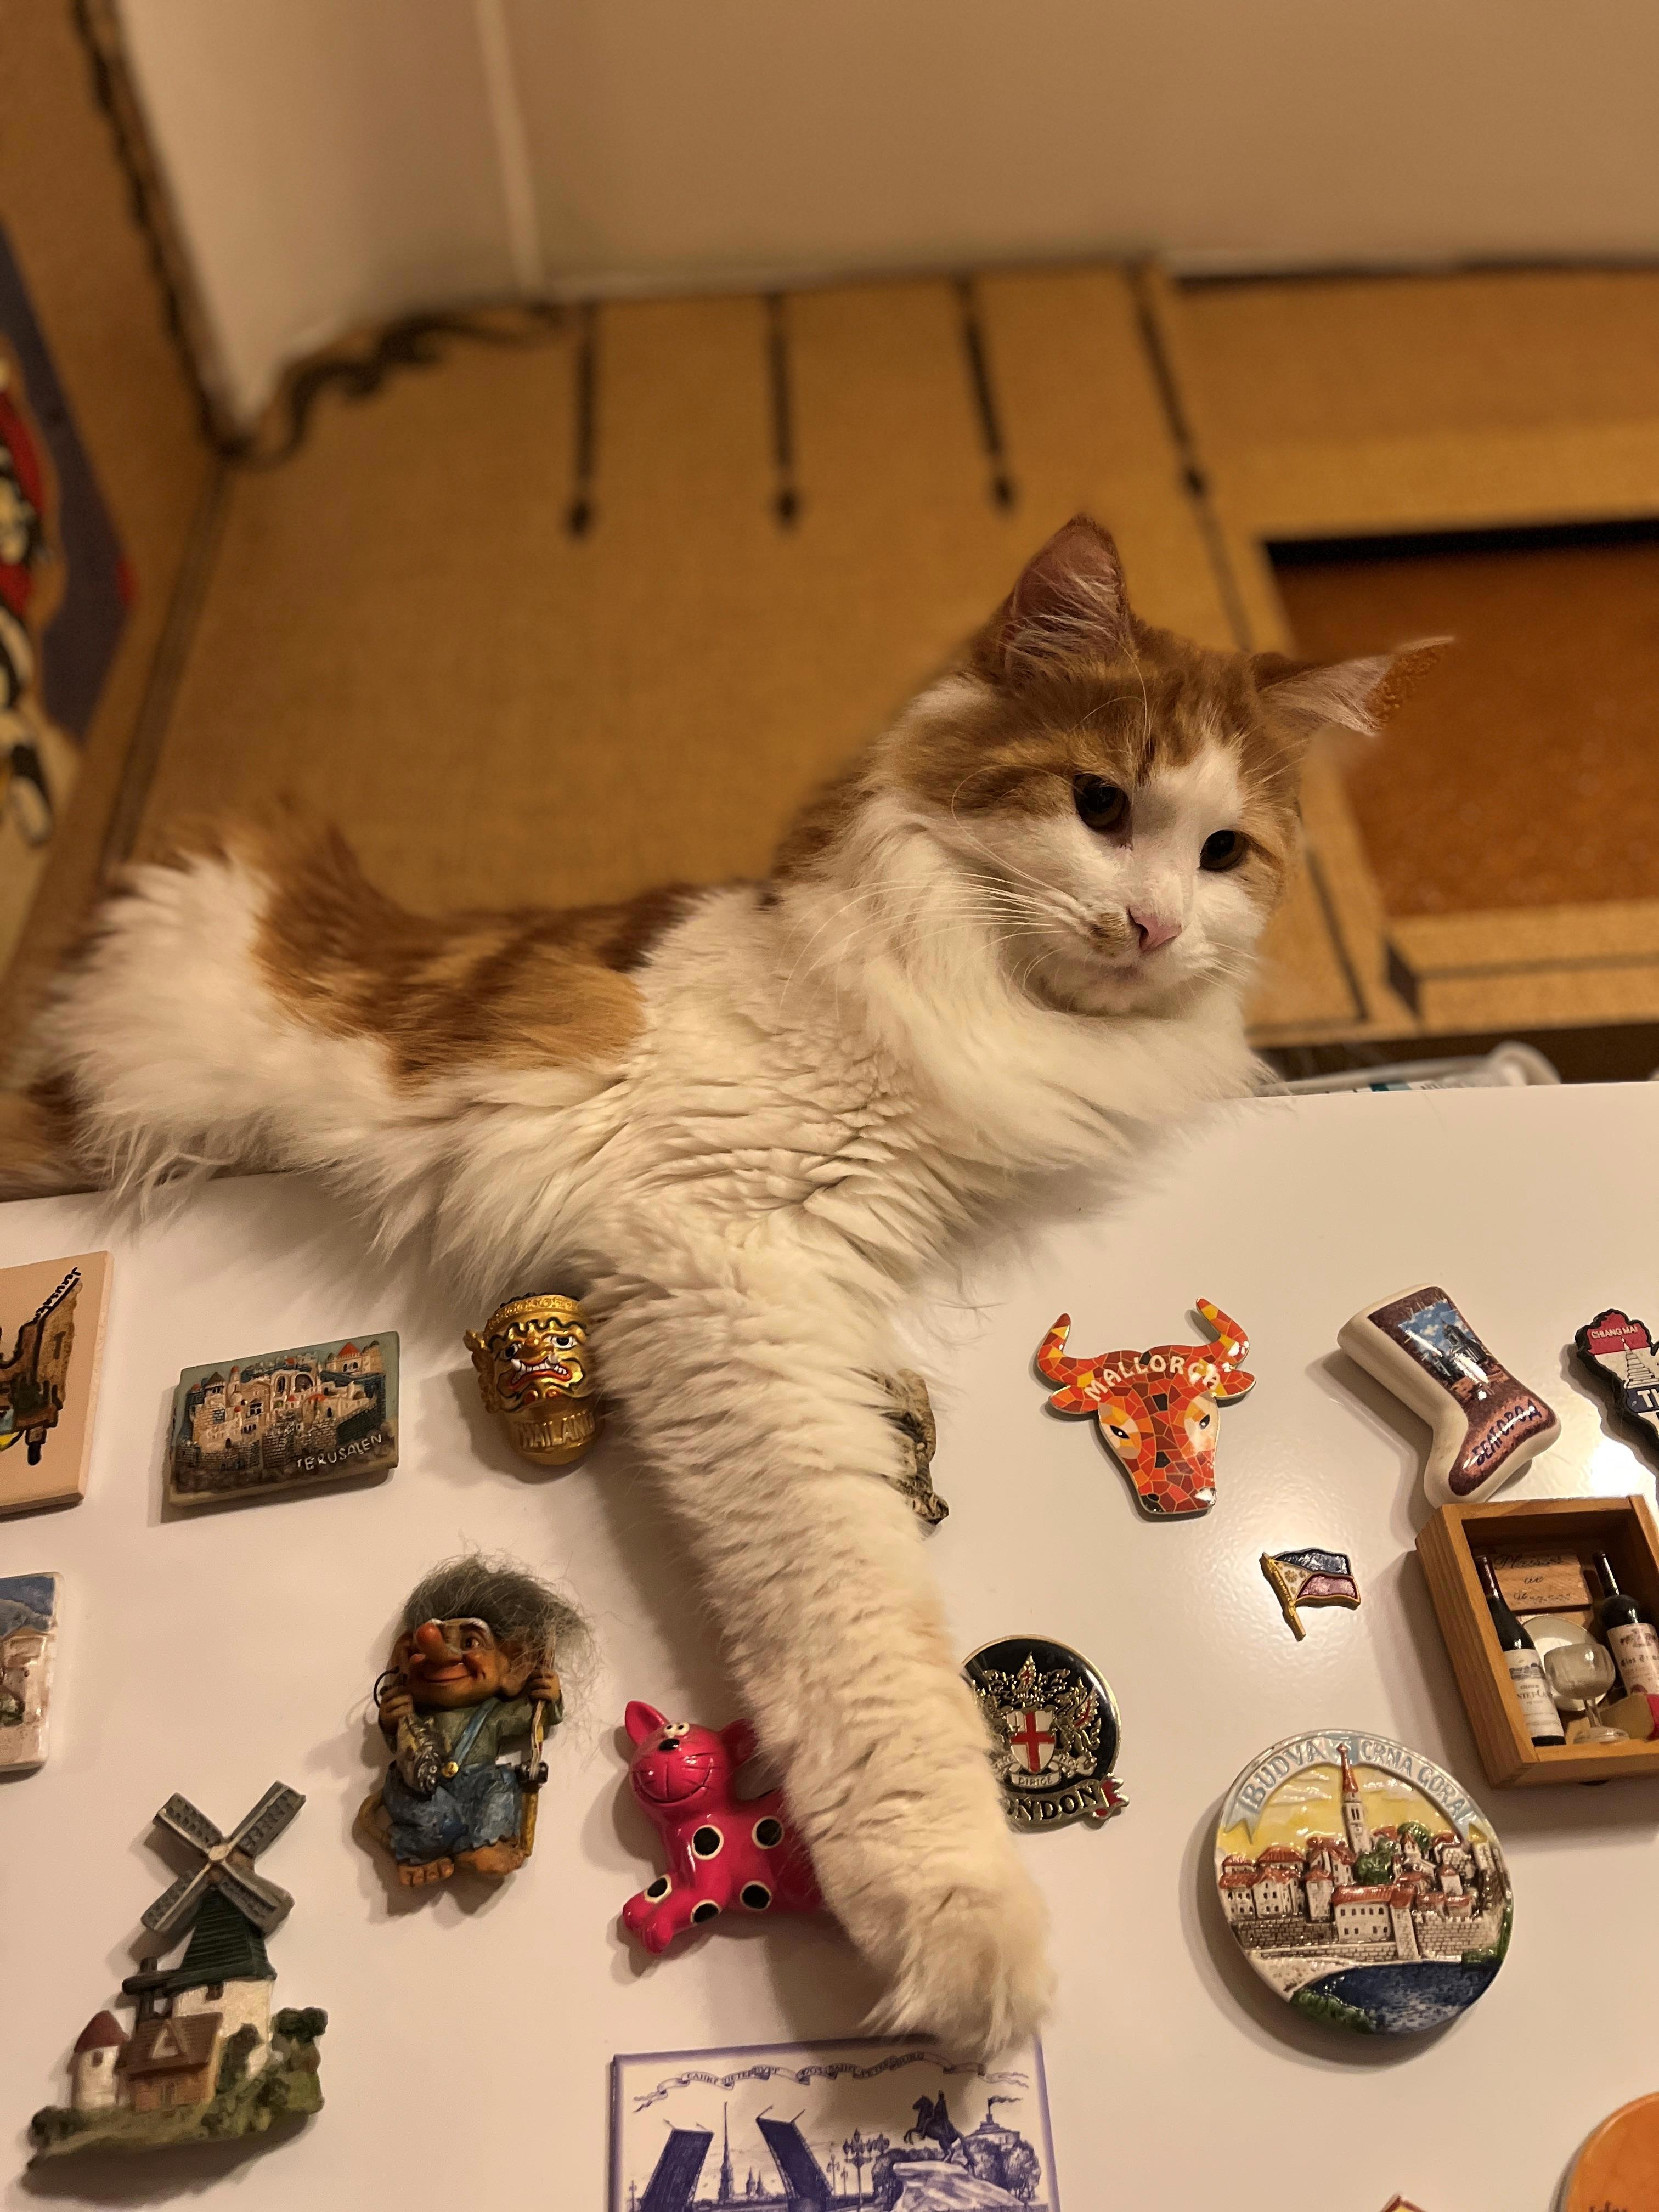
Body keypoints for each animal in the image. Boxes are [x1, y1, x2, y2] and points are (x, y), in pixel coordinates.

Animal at [1, 515, 1439, 2054]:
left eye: (1224, 854)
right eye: (1101, 805)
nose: (1157, 927)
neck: (965, 998)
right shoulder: (725, 1274)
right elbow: (858, 1627)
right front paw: (959, 1922)